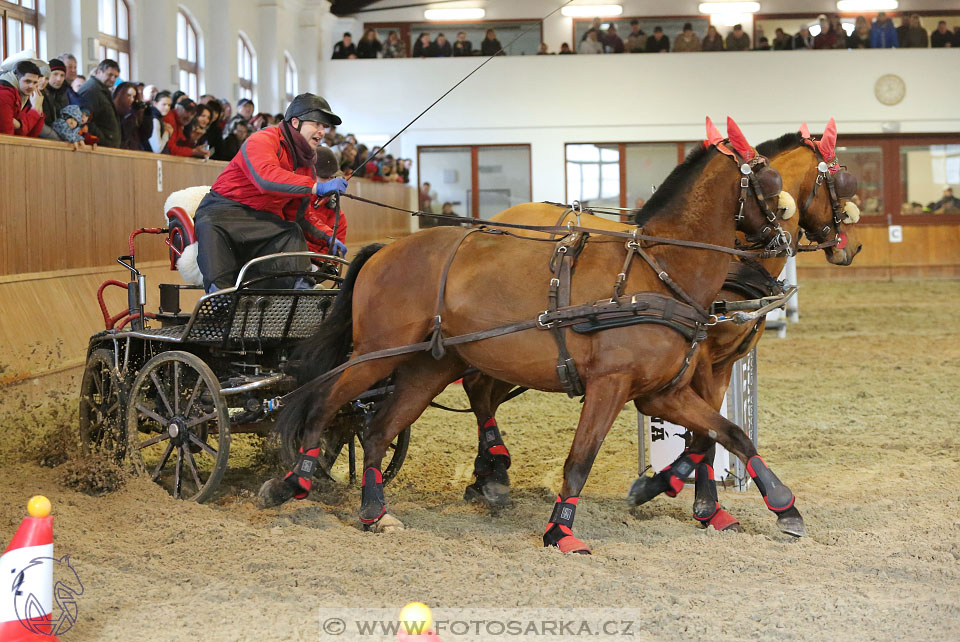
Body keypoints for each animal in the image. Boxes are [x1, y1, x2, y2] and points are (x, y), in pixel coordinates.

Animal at [264, 119, 796, 552]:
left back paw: (376, 509)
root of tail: (384, 250)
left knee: (376, 431)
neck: (657, 270)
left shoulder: (660, 393)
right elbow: (580, 460)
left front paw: (782, 504)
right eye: (771, 183)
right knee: (325, 406)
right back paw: (294, 481)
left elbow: (727, 434)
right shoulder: (610, 385)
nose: (782, 245)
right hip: (376, 354)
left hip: (426, 368)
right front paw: (561, 531)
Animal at [462, 119, 868, 536]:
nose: (851, 248)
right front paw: (692, 497)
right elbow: (703, 437)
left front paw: (690, 497)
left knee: (482, 391)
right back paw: (493, 472)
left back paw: (486, 475)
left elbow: (710, 434)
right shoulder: (700, 360)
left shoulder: (720, 367)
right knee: (478, 387)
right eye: (843, 182)